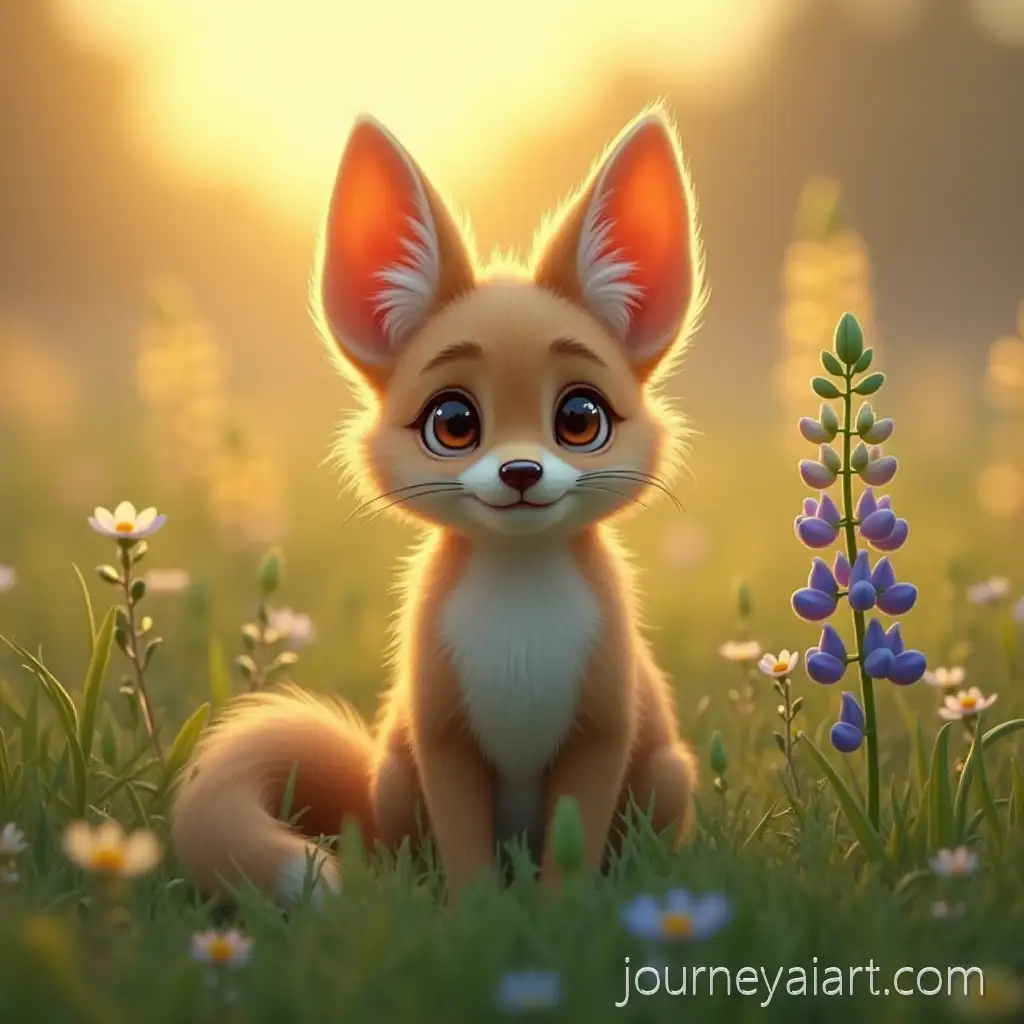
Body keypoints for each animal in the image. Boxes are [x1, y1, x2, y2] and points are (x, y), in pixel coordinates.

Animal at [169, 102, 708, 908]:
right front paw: (476, 916)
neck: (519, 619)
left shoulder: (600, 731)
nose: (520, 471)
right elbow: (462, 848)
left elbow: (572, 846)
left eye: (581, 418)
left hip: (668, 773)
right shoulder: (443, 737)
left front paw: (562, 914)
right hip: (395, 776)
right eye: (452, 423)